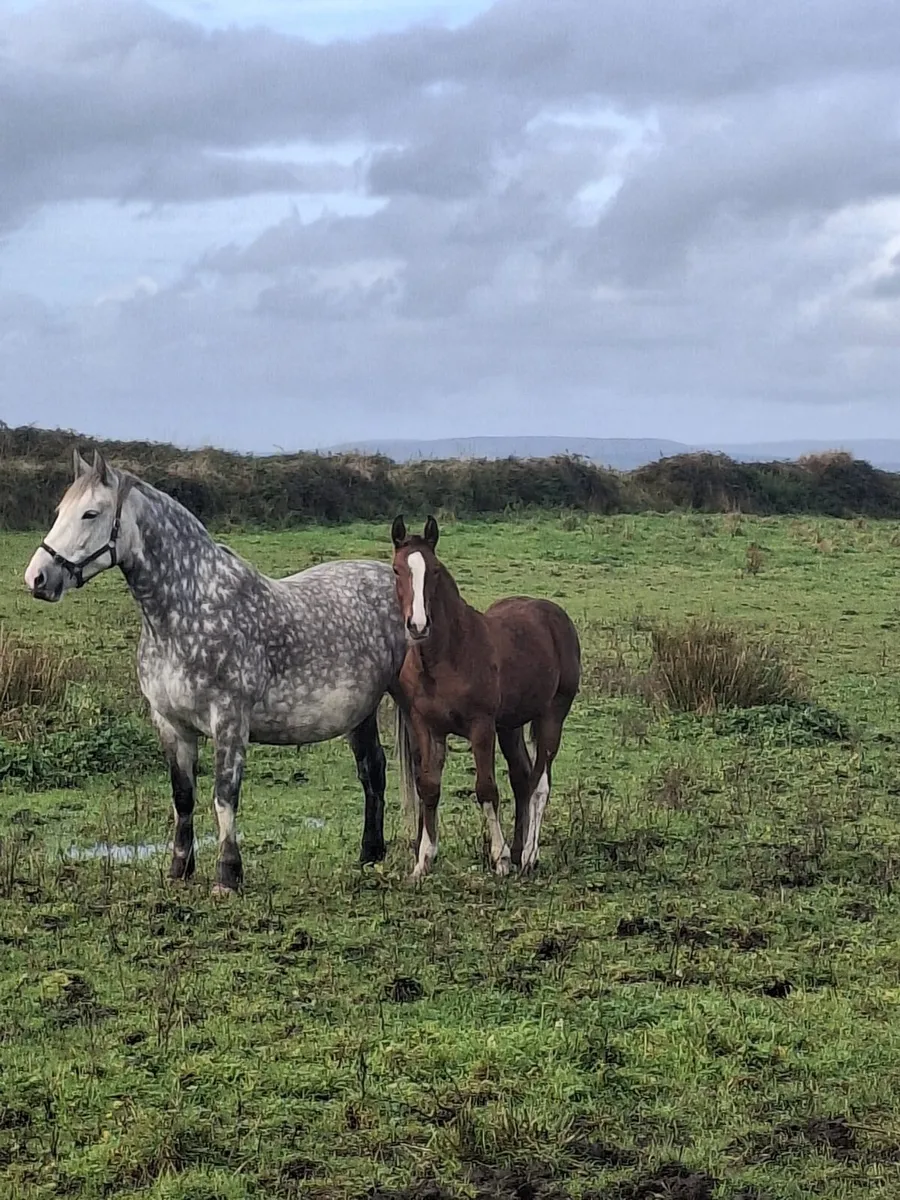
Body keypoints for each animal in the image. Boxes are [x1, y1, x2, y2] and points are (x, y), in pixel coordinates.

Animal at [24, 449, 413, 894]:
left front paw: (227, 875)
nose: (37, 578)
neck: (189, 610)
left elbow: (224, 796)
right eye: (59, 512)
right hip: (360, 712)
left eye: (91, 513)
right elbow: (183, 797)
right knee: (372, 772)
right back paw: (369, 855)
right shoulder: (170, 723)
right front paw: (179, 870)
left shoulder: (229, 720)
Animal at [390, 514, 581, 879]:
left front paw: (500, 858)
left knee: (540, 783)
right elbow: (429, 787)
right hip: (510, 725)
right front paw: (423, 861)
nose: (418, 625)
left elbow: (486, 789)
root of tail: (555, 615)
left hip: (552, 714)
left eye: (435, 570)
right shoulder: (427, 726)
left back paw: (529, 855)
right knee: (522, 778)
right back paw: (520, 850)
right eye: (396, 569)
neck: (446, 657)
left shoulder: (481, 726)